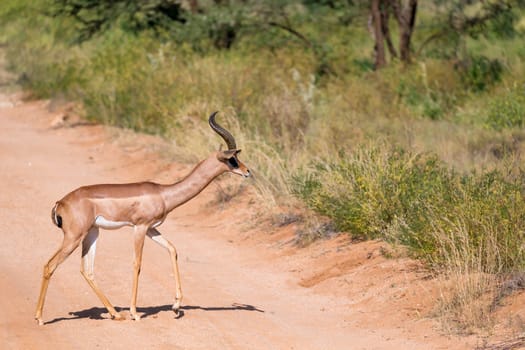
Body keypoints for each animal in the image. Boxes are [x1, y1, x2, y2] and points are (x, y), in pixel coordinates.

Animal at [34, 112, 250, 326]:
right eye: (232, 159)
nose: (247, 172)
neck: (163, 194)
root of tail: (61, 203)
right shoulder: (140, 227)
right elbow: (137, 264)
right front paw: (135, 313)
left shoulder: (152, 228)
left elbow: (172, 249)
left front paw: (176, 306)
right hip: (74, 237)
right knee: (49, 265)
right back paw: (40, 318)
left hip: (92, 233)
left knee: (87, 270)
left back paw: (115, 314)